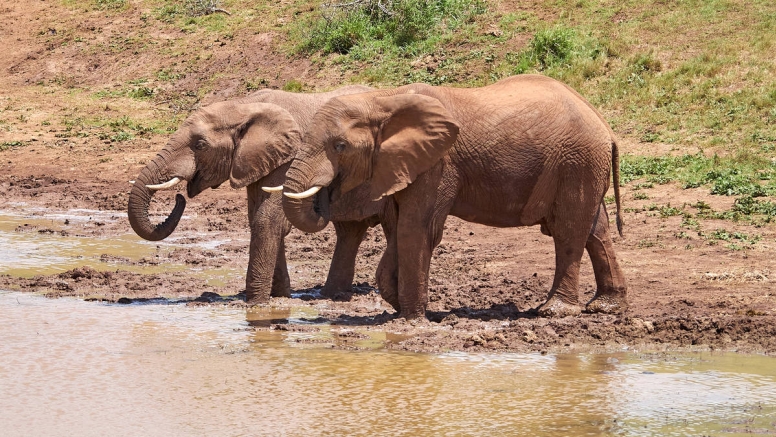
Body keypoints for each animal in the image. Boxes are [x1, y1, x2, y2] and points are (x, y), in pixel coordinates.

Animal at [127, 85, 376, 304]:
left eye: (200, 145)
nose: (179, 198)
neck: (243, 106)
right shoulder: (256, 160)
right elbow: (258, 216)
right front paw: (279, 297)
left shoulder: (291, 157)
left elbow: (267, 219)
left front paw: (256, 305)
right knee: (350, 231)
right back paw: (334, 294)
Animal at [280, 75, 632, 318]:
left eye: (339, 146)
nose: (325, 196)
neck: (382, 100)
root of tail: (604, 125)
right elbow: (399, 227)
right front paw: (398, 304)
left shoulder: (438, 164)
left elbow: (417, 228)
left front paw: (410, 318)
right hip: (582, 165)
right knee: (596, 229)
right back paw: (605, 306)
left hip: (577, 161)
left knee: (568, 230)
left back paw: (554, 311)